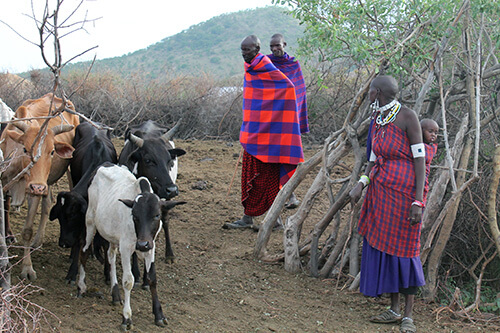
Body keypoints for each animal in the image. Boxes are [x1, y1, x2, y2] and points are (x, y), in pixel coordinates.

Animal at [0, 93, 79, 280]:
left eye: (52, 152)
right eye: (25, 149)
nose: (38, 187)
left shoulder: (33, 191)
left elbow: (27, 230)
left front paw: (27, 268)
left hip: (61, 176)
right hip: (46, 182)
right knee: (48, 201)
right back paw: (37, 241)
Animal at [49, 122, 118, 282]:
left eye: (72, 215)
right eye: (60, 217)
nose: (64, 243)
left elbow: (104, 241)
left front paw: (107, 272)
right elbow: (80, 240)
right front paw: (72, 271)